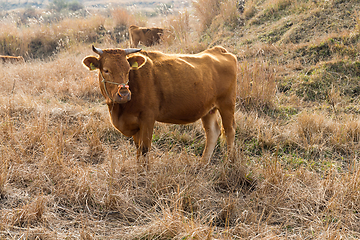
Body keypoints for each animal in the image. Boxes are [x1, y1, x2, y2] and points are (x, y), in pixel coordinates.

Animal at [83, 44, 238, 165]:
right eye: (106, 70)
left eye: (128, 70)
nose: (124, 94)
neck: (120, 111)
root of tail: (219, 50)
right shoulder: (135, 124)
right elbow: (138, 149)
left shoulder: (147, 118)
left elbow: (144, 149)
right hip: (208, 109)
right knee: (212, 132)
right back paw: (203, 164)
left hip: (227, 104)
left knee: (229, 131)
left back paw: (230, 162)